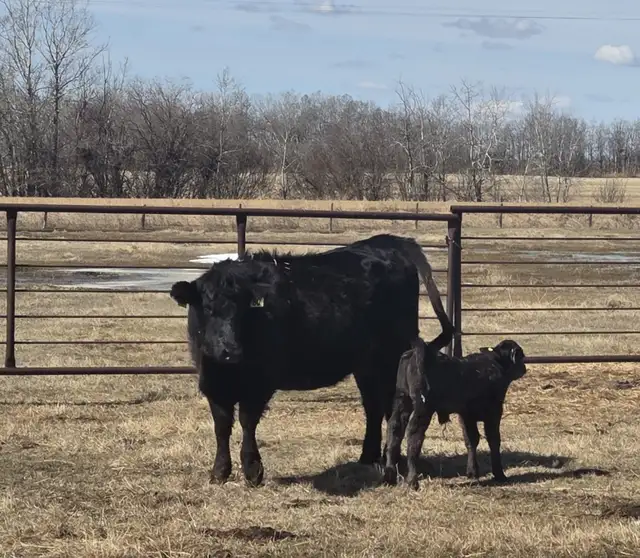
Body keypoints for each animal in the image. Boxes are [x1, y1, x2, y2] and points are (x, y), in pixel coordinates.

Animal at [169, 233, 453, 486]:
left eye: (243, 310)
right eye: (207, 308)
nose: (231, 350)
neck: (225, 370)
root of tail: (389, 241)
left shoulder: (258, 384)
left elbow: (247, 423)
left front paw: (252, 470)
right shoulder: (213, 386)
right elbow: (221, 426)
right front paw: (219, 472)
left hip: (392, 357)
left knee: (393, 410)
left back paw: (392, 461)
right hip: (366, 365)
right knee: (373, 406)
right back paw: (368, 457)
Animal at [383, 338, 527, 489]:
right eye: (520, 355)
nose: (524, 368)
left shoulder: (466, 414)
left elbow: (471, 439)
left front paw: (472, 472)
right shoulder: (494, 411)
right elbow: (493, 440)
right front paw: (499, 474)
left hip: (402, 400)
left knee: (394, 429)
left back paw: (389, 476)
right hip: (423, 408)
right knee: (414, 436)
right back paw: (412, 481)